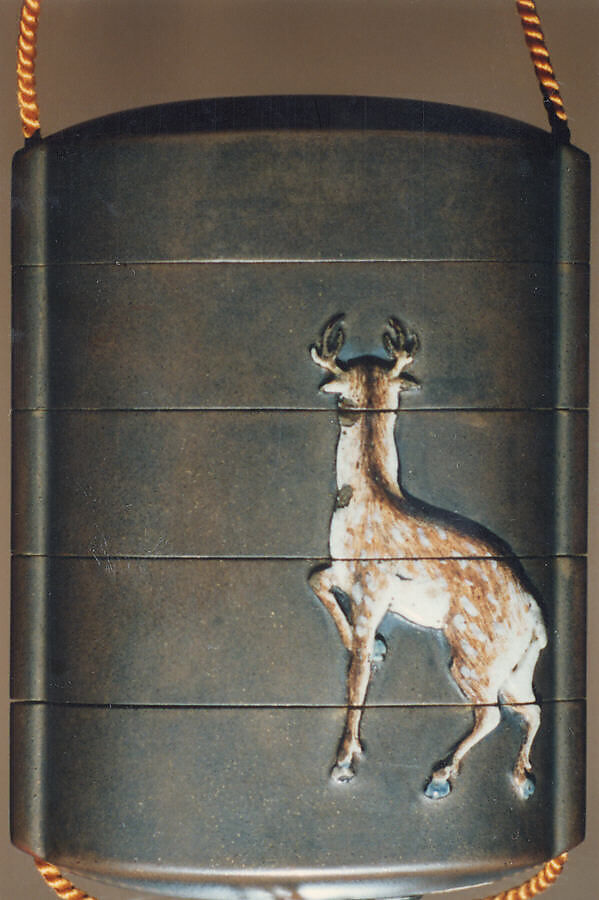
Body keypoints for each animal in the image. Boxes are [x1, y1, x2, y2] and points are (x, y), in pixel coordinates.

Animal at [308, 313, 547, 801]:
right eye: (347, 390)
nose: (345, 413)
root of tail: (537, 623)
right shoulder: (345, 573)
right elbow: (316, 580)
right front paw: (379, 647)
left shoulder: (372, 588)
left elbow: (355, 675)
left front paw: (344, 761)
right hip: (514, 668)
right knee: (531, 710)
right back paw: (523, 780)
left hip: (474, 656)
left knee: (492, 713)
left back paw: (438, 780)